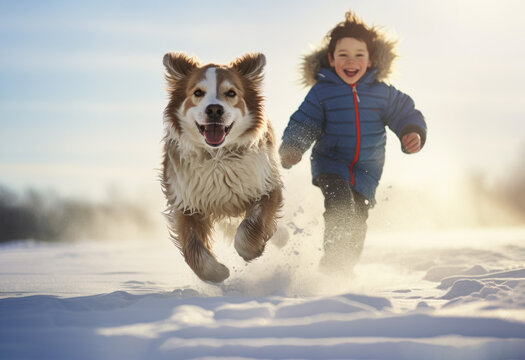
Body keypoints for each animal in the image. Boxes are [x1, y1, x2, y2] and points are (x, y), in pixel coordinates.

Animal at [162, 52, 282, 284]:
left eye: (231, 93)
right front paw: (216, 273)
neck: (218, 158)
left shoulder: (267, 186)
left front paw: (251, 250)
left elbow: (252, 226)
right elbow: (193, 249)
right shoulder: (185, 202)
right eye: (198, 93)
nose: (214, 109)